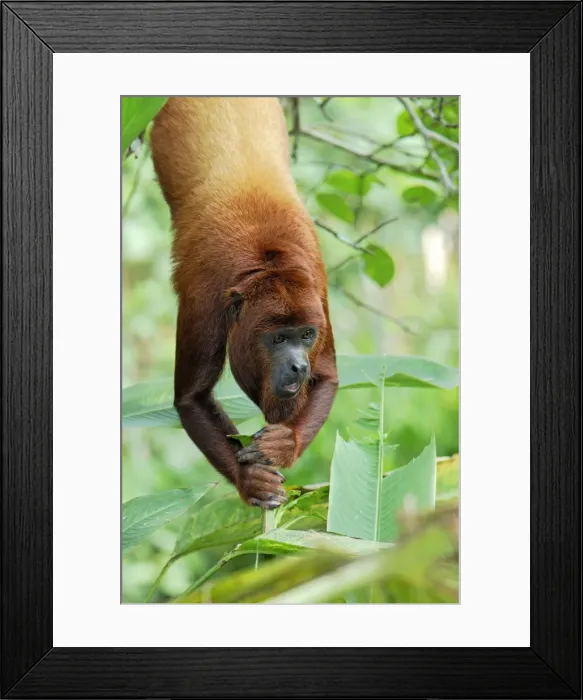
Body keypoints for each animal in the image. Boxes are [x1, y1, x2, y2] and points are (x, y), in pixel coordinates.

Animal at [150, 98, 338, 509]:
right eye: (278, 338)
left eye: (306, 335)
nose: (299, 366)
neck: (267, 259)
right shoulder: (205, 295)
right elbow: (191, 396)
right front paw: (248, 479)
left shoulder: (316, 284)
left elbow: (329, 377)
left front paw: (285, 444)